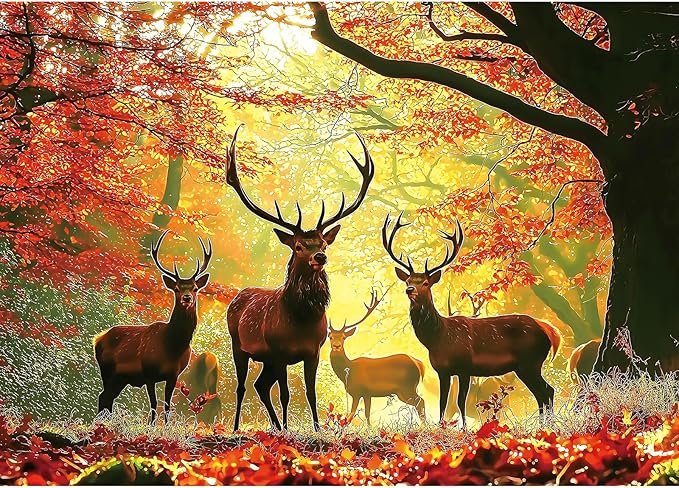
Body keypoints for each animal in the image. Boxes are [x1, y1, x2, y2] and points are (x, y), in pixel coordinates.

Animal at [94, 230, 212, 424]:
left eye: (195, 288)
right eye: (177, 288)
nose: (187, 298)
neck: (172, 347)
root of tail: (97, 339)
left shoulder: (174, 375)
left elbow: (167, 405)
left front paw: (165, 427)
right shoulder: (149, 372)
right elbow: (154, 403)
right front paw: (151, 426)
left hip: (120, 377)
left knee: (107, 397)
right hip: (107, 370)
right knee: (104, 396)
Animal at [225, 125, 375, 431]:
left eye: (324, 243)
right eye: (297, 246)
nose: (320, 257)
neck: (301, 320)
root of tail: (237, 297)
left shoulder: (313, 351)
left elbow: (310, 392)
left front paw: (316, 429)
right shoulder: (279, 352)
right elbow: (285, 393)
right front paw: (288, 429)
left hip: (266, 360)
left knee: (260, 385)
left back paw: (275, 425)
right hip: (239, 346)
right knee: (243, 386)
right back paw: (237, 427)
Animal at [328, 289, 426, 426]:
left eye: (343, 337)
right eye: (330, 337)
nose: (336, 346)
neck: (348, 371)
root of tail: (419, 364)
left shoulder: (358, 391)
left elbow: (350, 416)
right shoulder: (367, 394)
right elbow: (367, 414)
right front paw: (370, 428)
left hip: (407, 387)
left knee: (420, 401)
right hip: (402, 391)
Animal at [382, 212, 562, 427]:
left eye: (425, 283)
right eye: (408, 281)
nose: (409, 290)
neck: (438, 339)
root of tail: (550, 331)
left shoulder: (465, 366)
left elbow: (461, 401)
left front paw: (464, 429)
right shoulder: (442, 370)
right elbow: (443, 402)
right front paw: (442, 427)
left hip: (531, 361)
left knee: (547, 390)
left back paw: (547, 426)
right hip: (525, 366)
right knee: (541, 393)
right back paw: (542, 426)